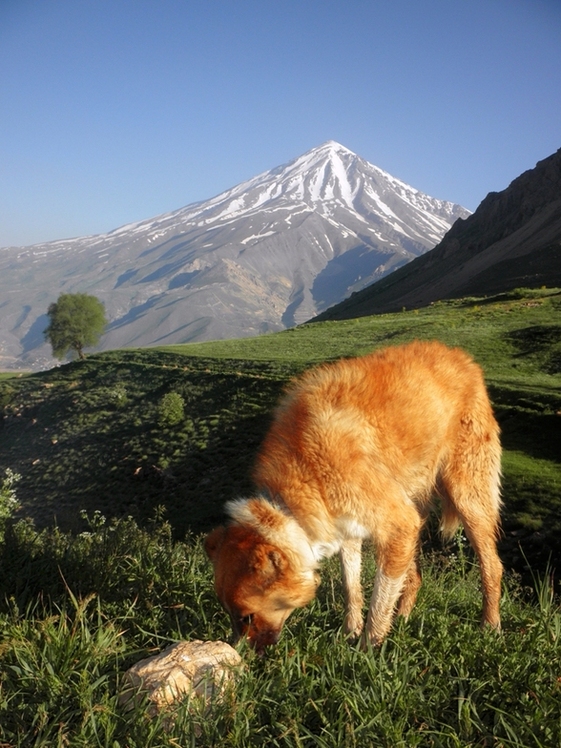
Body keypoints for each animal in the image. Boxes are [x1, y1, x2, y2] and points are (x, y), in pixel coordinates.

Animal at [203, 342, 500, 652]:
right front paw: (350, 630)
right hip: (415, 507)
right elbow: (351, 587)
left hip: (467, 499)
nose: (241, 652)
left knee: (493, 567)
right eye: (229, 613)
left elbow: (379, 600)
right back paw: (404, 619)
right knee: (416, 577)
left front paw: (368, 648)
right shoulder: (348, 529)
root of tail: (462, 357)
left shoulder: (398, 523)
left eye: (247, 617)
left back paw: (490, 626)